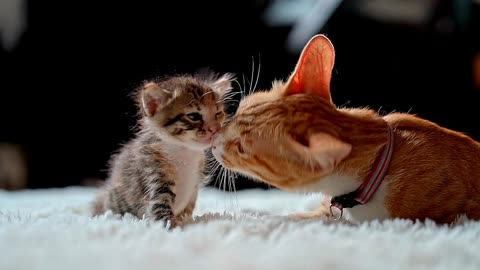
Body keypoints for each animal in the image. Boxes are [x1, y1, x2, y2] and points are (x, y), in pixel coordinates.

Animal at [93, 71, 233, 228]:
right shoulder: (154, 172)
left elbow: (188, 209)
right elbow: (160, 207)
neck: (184, 151)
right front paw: (171, 227)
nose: (215, 129)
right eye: (194, 116)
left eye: (218, 113)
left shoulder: (195, 186)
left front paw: (184, 221)